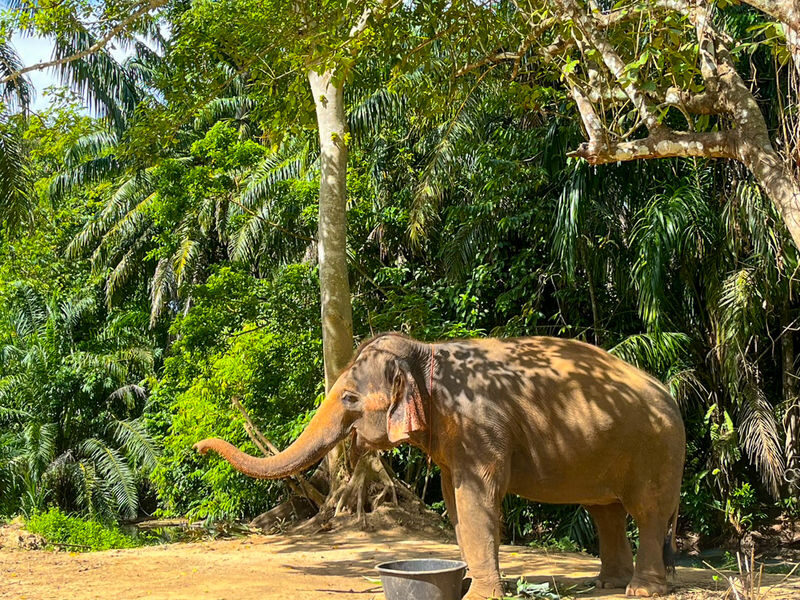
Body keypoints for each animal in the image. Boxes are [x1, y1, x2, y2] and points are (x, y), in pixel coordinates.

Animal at [195, 333, 685, 599]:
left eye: (350, 398)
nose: (199, 447)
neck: (424, 352)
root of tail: (670, 394)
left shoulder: (481, 427)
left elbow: (476, 498)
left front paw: (483, 594)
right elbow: (453, 500)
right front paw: (462, 582)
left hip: (657, 449)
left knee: (647, 511)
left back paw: (640, 590)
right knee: (605, 512)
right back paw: (607, 586)